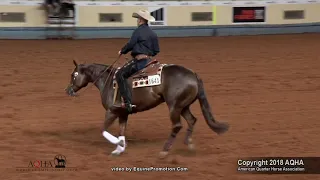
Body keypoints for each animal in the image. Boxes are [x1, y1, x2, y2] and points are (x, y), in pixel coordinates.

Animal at [65, 58, 230, 158]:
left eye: (73, 75)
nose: (68, 90)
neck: (108, 81)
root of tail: (193, 74)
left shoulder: (111, 111)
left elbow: (103, 129)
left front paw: (118, 144)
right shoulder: (123, 112)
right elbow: (122, 130)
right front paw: (119, 148)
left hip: (174, 106)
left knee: (177, 125)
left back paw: (164, 150)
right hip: (183, 106)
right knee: (192, 120)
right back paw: (189, 144)